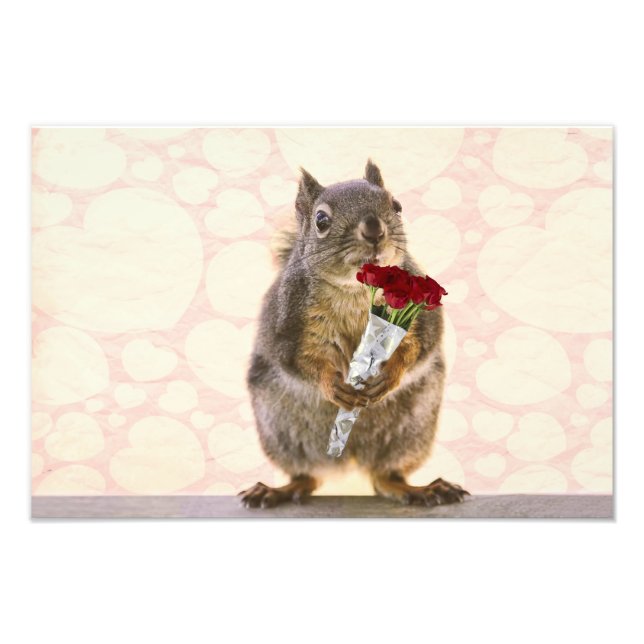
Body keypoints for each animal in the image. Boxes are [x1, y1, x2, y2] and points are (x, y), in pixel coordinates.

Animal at [240, 160, 469, 508]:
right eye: (321, 220)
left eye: (396, 205)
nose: (375, 229)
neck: (356, 288)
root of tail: (348, 458)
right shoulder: (288, 321)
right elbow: (301, 361)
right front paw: (333, 384)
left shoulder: (420, 315)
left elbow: (418, 347)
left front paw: (390, 373)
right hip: (279, 430)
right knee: (306, 475)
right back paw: (281, 489)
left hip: (414, 427)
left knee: (385, 477)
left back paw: (418, 489)